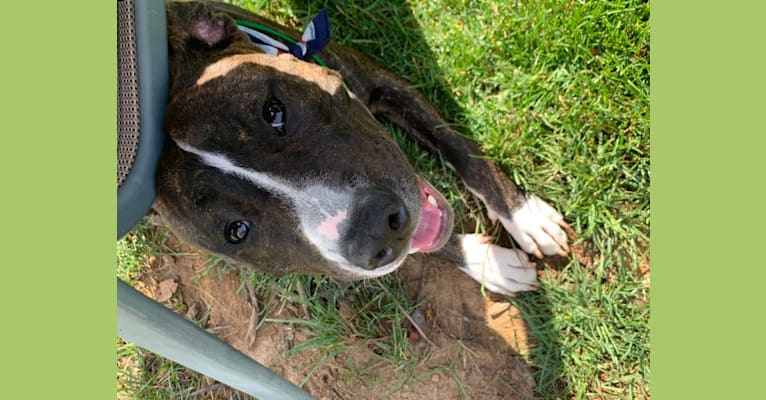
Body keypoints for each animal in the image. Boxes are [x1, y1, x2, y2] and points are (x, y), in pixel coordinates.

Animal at [156, 1, 572, 296]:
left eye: (274, 111)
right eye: (237, 230)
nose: (375, 231)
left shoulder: (381, 82)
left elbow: (464, 151)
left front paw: (525, 217)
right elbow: (426, 246)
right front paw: (487, 262)